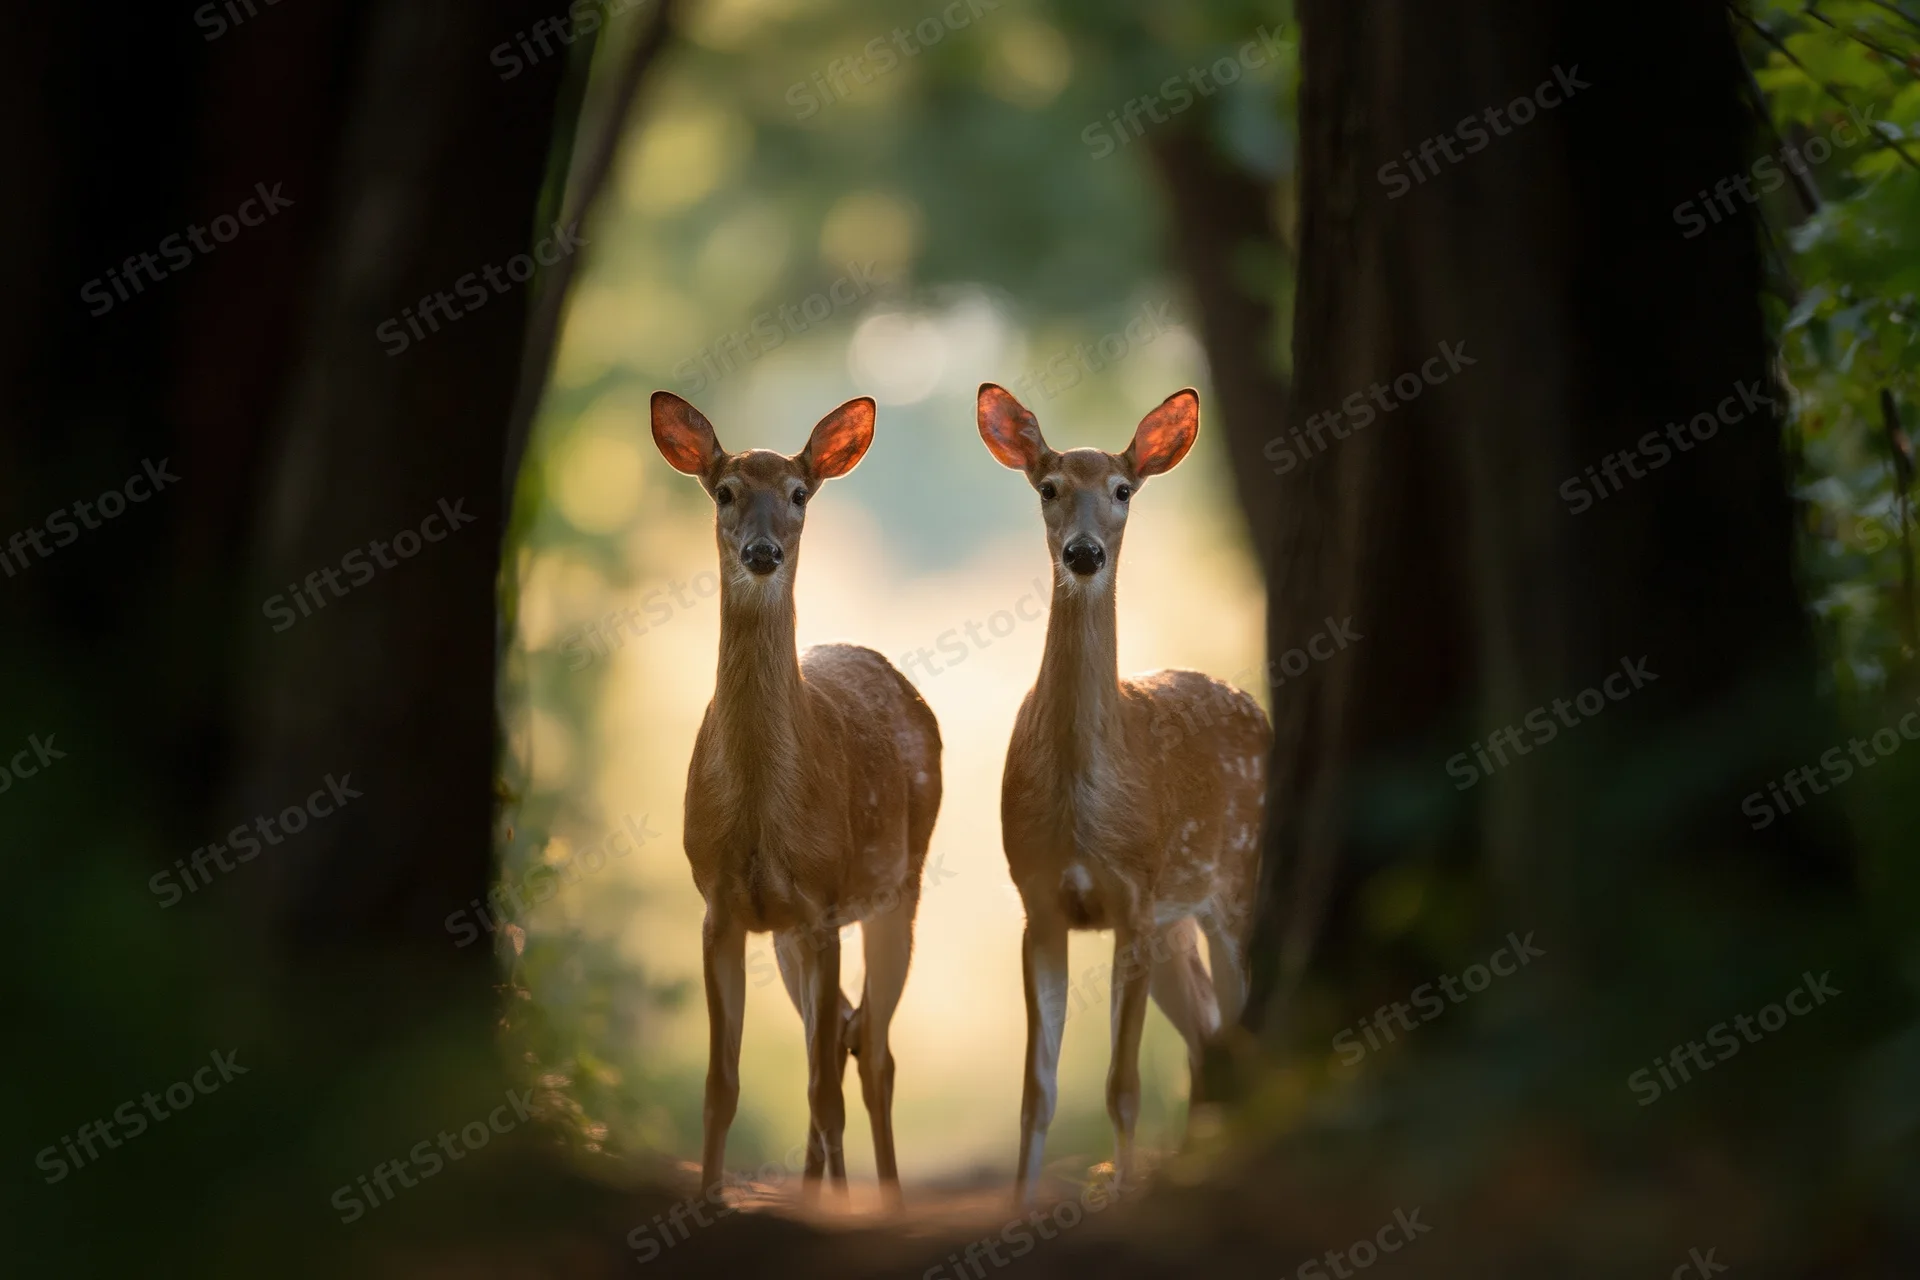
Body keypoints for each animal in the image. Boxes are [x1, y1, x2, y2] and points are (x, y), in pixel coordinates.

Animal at [650, 390, 942, 1209]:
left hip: (897, 892)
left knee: (871, 1052)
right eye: (724, 492)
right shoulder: (721, 906)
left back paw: (883, 1197)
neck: (759, 814)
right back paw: (822, 1188)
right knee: (842, 1032)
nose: (762, 552)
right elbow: (722, 1084)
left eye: (799, 494)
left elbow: (821, 1087)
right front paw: (709, 1199)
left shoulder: (823, 904)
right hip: (785, 936)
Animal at [975, 382, 1271, 1204]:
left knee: (1230, 1024)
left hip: (1232, 887)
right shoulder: (1039, 900)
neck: (1082, 806)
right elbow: (1036, 1091)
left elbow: (1122, 1084)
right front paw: (1020, 1204)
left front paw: (1122, 1190)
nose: (1084, 553)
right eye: (1047, 487)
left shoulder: (1135, 897)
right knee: (1207, 1034)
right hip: (1175, 927)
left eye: (1122, 490)